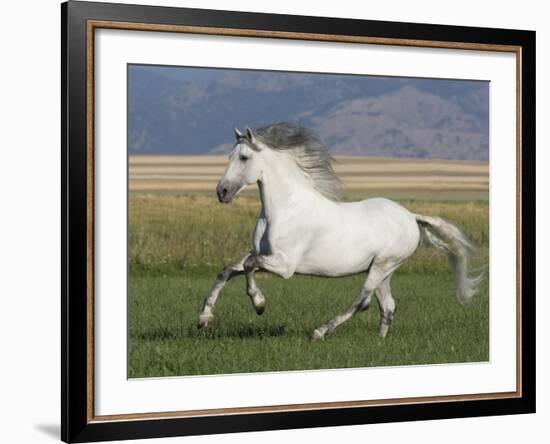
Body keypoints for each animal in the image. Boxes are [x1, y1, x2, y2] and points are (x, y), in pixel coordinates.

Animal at [198, 123, 484, 338]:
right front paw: (204, 319)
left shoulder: (284, 266)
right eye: (229, 156)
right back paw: (379, 343)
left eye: (244, 157)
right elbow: (227, 270)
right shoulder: (260, 255)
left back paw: (320, 332)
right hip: (383, 270)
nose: (222, 192)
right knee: (387, 306)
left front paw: (259, 304)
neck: (284, 210)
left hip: (383, 265)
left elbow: (248, 267)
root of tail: (411, 217)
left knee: (363, 301)